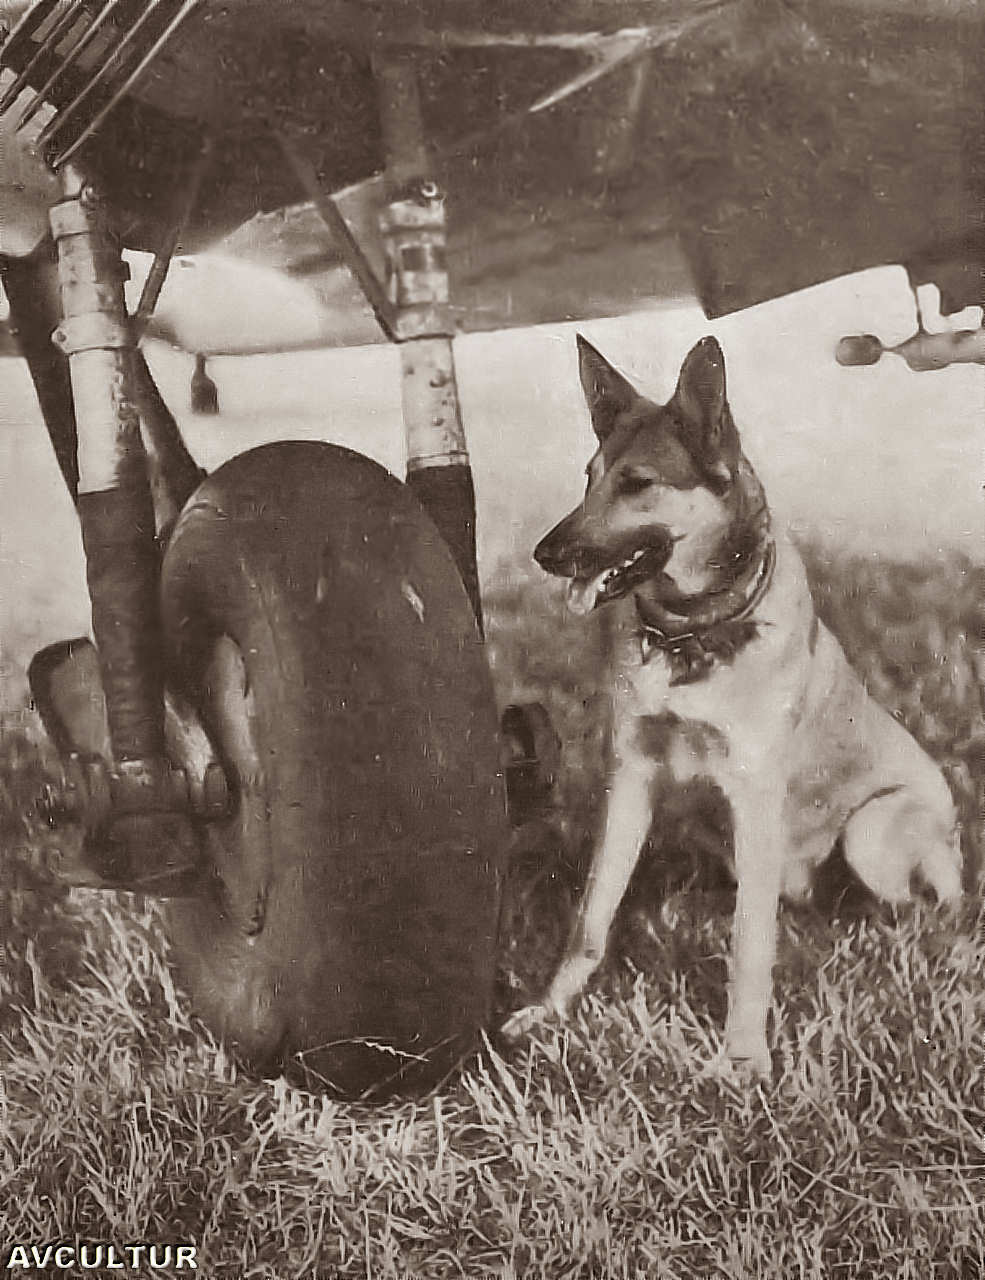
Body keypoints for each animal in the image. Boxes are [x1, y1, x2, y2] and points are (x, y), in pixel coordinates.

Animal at [502, 334, 962, 1076]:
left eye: (637, 484)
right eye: (588, 477)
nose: (546, 554)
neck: (691, 638)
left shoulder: (753, 794)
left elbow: (749, 944)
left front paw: (743, 1057)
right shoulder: (629, 781)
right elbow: (591, 916)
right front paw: (549, 1011)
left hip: (873, 830)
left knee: (917, 909)